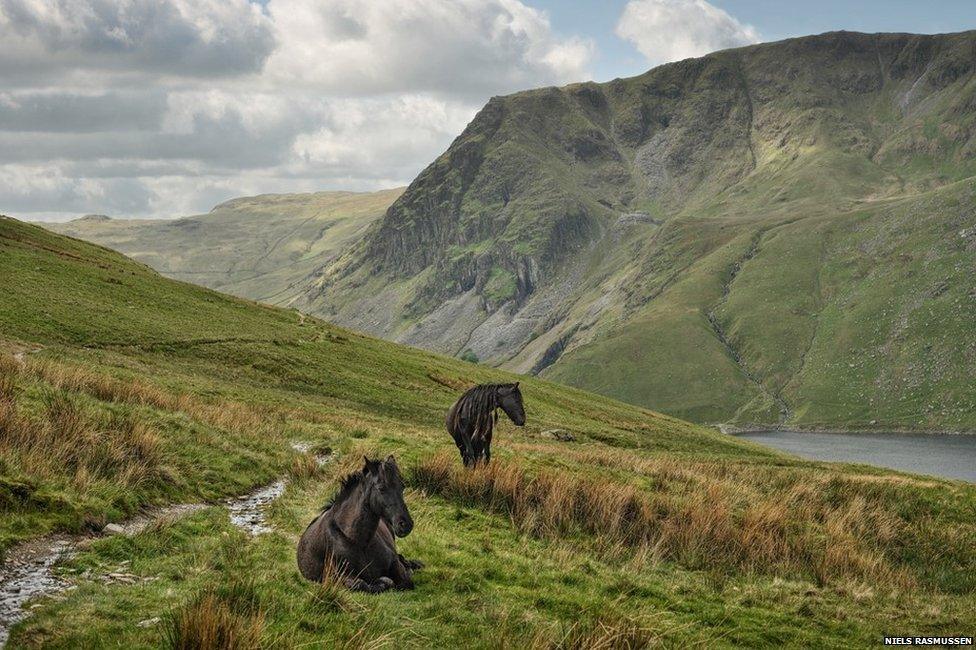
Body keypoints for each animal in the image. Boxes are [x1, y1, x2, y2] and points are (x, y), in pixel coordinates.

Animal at [296, 454, 422, 588]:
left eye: (402, 486)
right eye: (381, 488)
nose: (405, 524)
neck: (358, 541)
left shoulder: (395, 564)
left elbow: (405, 581)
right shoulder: (337, 577)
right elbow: (363, 584)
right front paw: (383, 582)